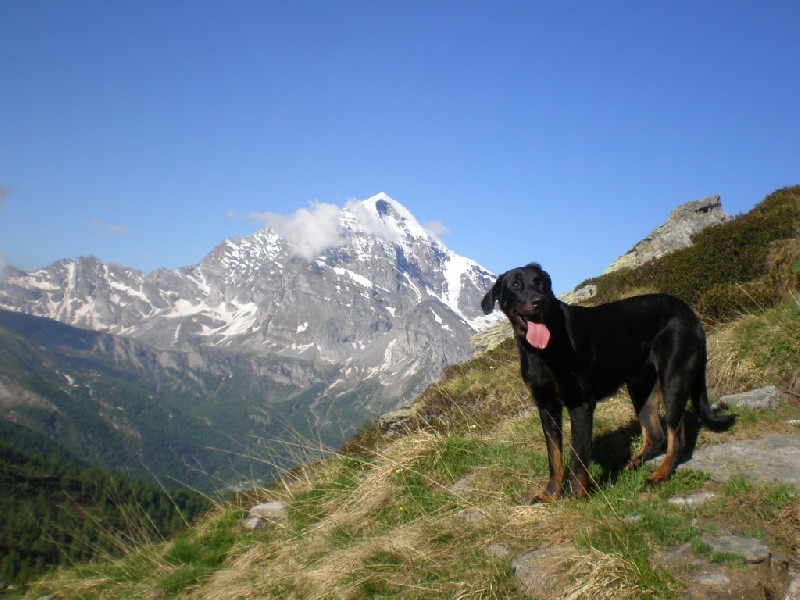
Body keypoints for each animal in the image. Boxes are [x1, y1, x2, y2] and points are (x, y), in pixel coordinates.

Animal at [478, 264, 736, 502]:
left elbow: (578, 457)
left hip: (673, 377)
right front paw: (551, 494)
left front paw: (577, 498)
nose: (539, 301)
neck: (542, 351)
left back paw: (659, 476)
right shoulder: (547, 407)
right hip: (641, 386)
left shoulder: (580, 405)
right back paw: (632, 466)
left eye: (540, 282)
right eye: (515, 285)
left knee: (677, 438)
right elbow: (554, 457)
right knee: (655, 435)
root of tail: (688, 311)